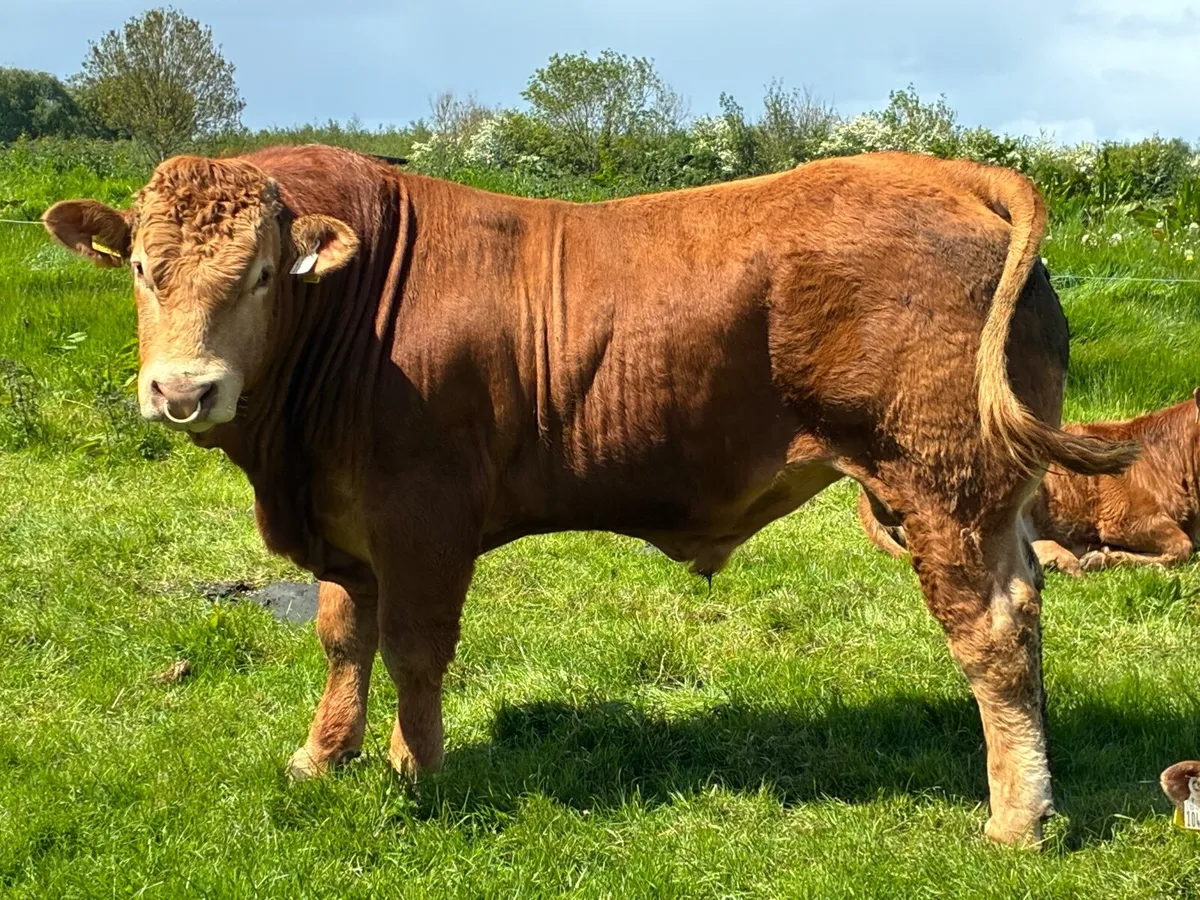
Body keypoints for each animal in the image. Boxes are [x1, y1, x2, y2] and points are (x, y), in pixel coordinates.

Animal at [43, 144, 1138, 846]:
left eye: (266, 272)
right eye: (139, 267)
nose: (183, 390)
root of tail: (947, 170)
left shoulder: (423, 513)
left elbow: (413, 648)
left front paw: (415, 770)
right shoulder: (345, 522)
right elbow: (343, 638)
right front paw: (322, 757)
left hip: (939, 481)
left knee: (989, 634)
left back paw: (1016, 818)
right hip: (991, 497)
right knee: (1024, 608)